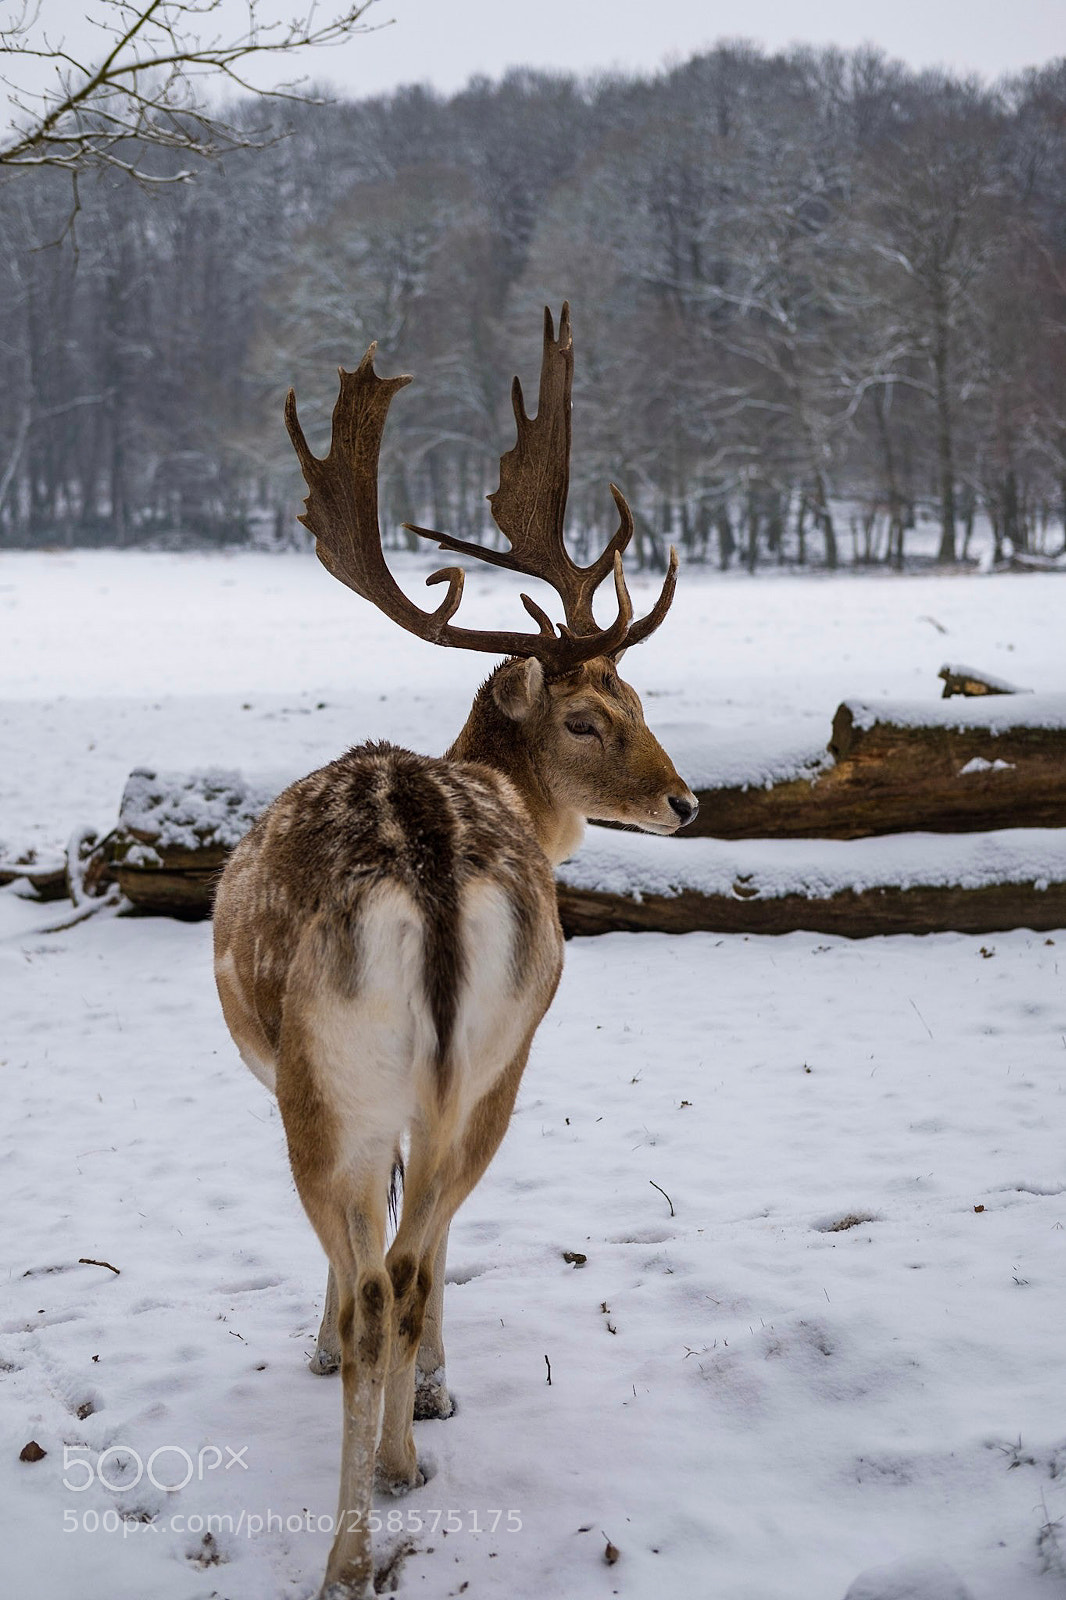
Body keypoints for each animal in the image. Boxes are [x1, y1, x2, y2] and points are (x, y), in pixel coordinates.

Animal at [212, 303, 697, 1599]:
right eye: (590, 716)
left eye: (639, 697)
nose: (684, 799)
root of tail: (427, 865)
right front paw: (428, 1391)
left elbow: (375, 1251)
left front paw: (371, 1370)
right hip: (482, 1061)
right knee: (414, 1256)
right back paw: (395, 1463)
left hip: (331, 1074)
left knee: (387, 1273)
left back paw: (354, 1531)